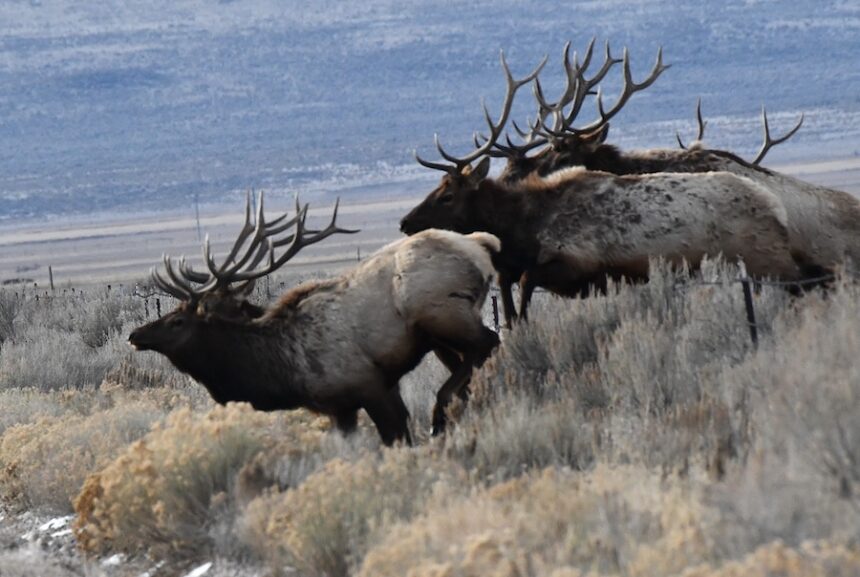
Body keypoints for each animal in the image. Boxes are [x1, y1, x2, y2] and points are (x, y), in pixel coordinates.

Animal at [128, 193, 500, 444]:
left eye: (177, 321)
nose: (135, 335)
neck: (284, 370)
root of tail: (479, 244)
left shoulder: (368, 384)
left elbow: (396, 437)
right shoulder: (341, 407)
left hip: (442, 314)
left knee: (488, 343)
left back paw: (443, 411)